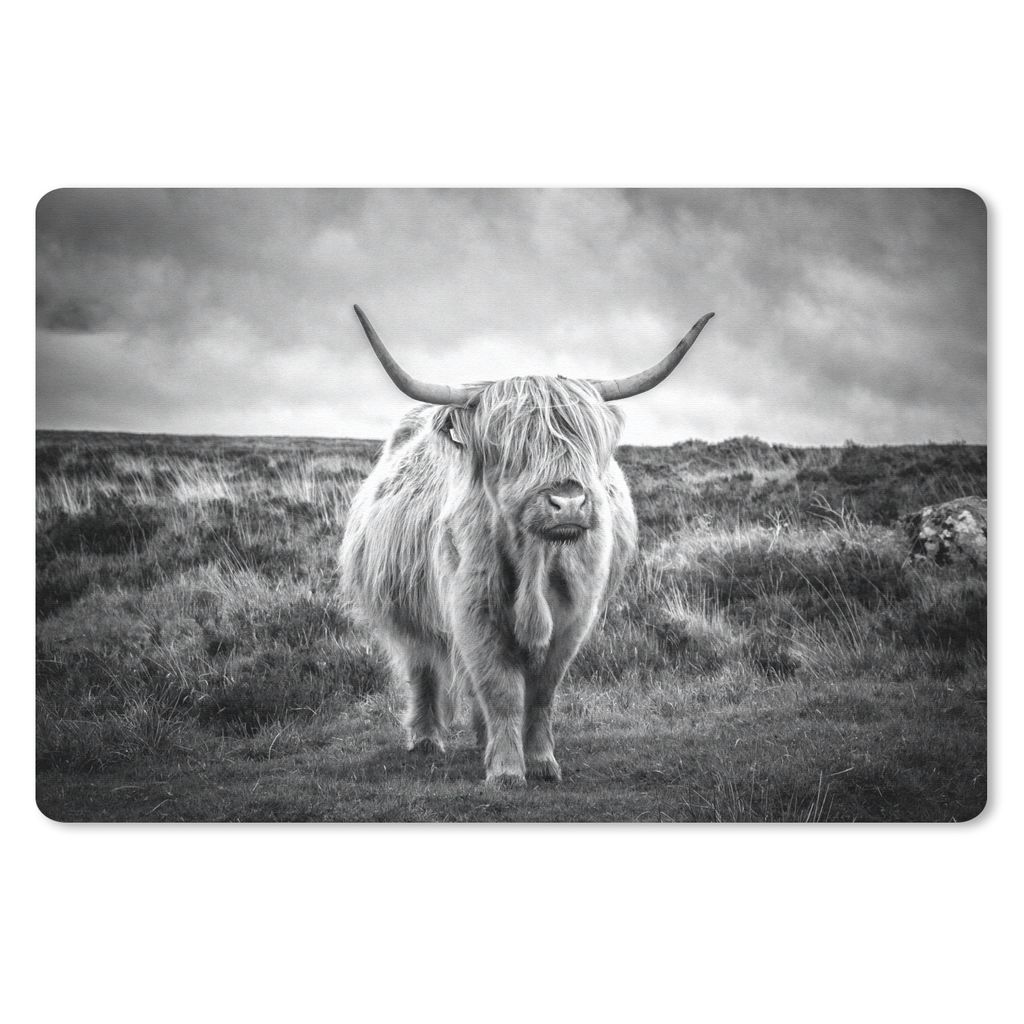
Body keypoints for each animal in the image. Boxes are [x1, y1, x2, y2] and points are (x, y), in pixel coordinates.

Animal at [340, 305, 714, 786]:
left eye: (585, 441)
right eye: (511, 447)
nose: (568, 501)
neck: (535, 560)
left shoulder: (574, 617)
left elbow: (540, 692)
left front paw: (540, 761)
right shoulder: (473, 610)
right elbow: (499, 688)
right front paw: (505, 770)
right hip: (406, 610)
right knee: (422, 667)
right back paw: (425, 739)